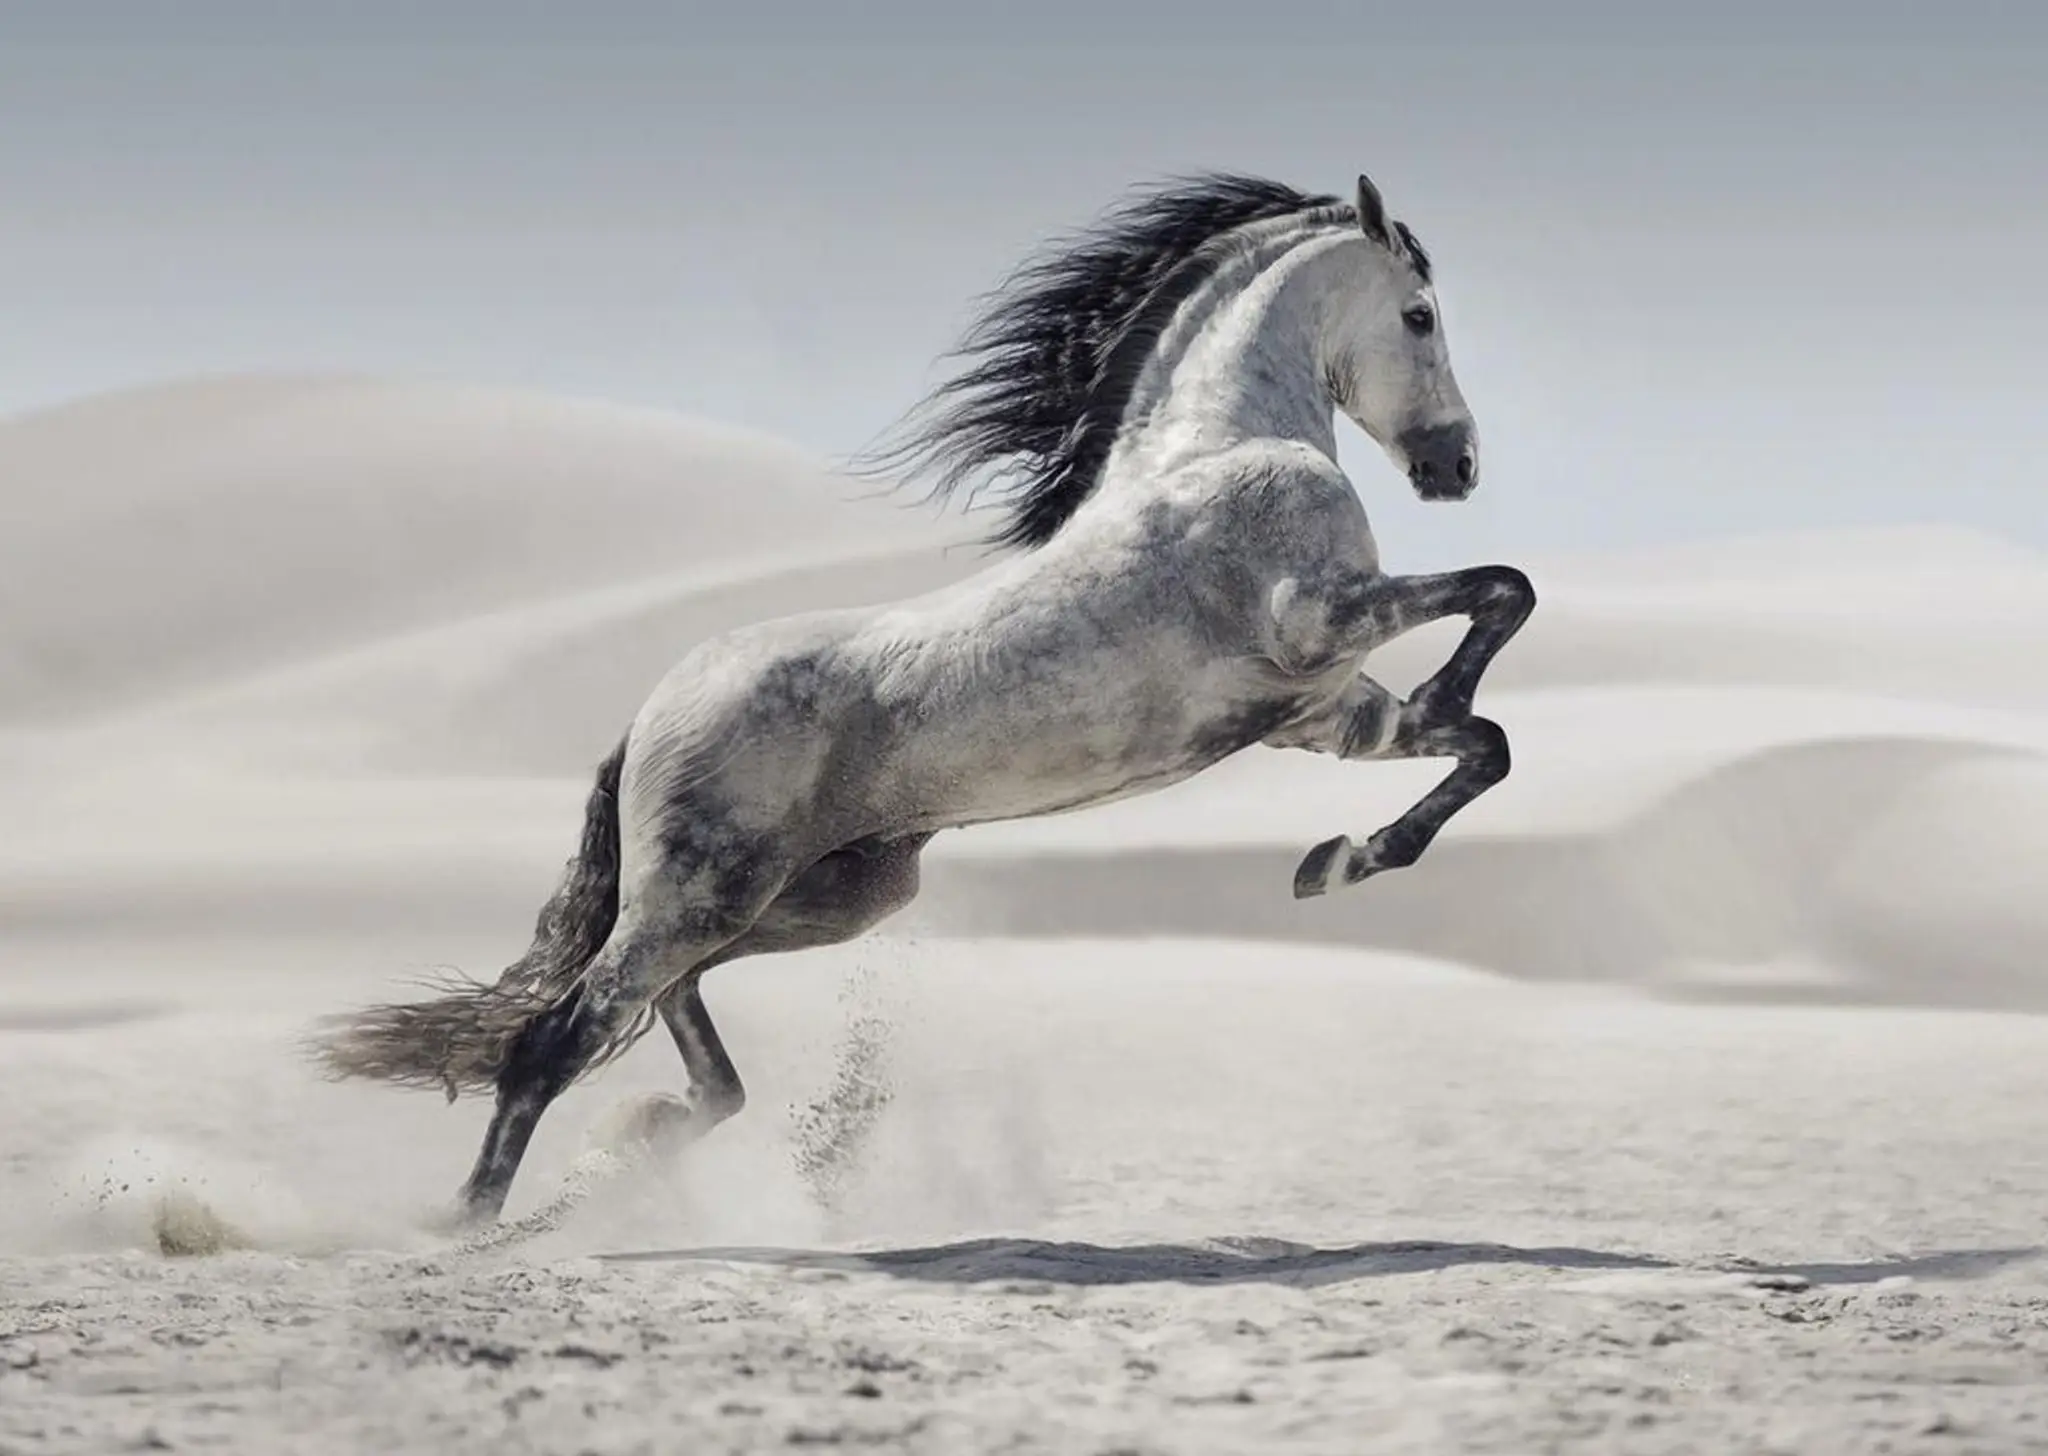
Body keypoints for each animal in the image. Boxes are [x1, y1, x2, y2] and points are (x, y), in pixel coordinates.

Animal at [310, 171, 1537, 1228]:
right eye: (1420, 314)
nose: (1458, 467)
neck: (1220, 447)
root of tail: (650, 711)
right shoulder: (1317, 621)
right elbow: (1503, 592)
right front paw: (1359, 827)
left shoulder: (1322, 715)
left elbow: (1483, 742)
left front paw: (1337, 860)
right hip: (707, 893)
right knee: (557, 1037)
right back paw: (470, 1225)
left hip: (819, 898)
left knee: (669, 1016)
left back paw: (641, 1140)